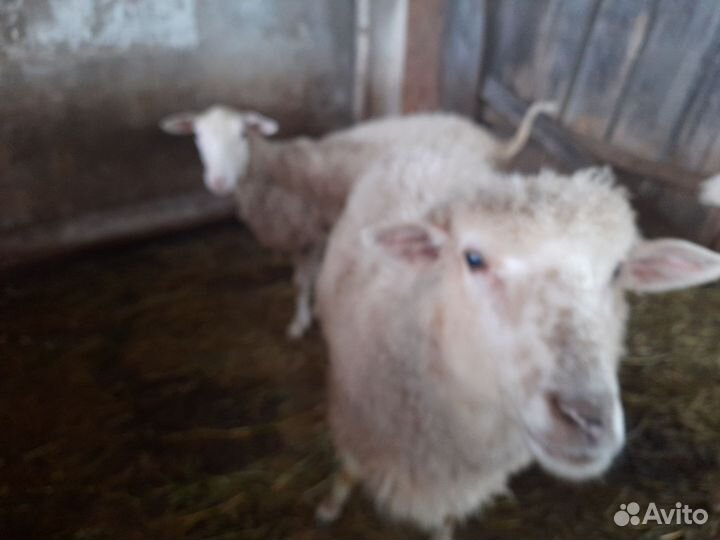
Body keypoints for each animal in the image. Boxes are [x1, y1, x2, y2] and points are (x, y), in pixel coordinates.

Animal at [159, 103, 555, 338]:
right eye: (197, 137)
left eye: (243, 134)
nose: (218, 182)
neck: (275, 170)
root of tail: (490, 141)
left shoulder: (312, 232)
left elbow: (303, 281)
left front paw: (301, 320)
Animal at [314, 148, 720, 540]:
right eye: (473, 258)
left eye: (618, 270)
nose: (586, 419)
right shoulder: (358, 419)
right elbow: (349, 468)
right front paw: (328, 508)